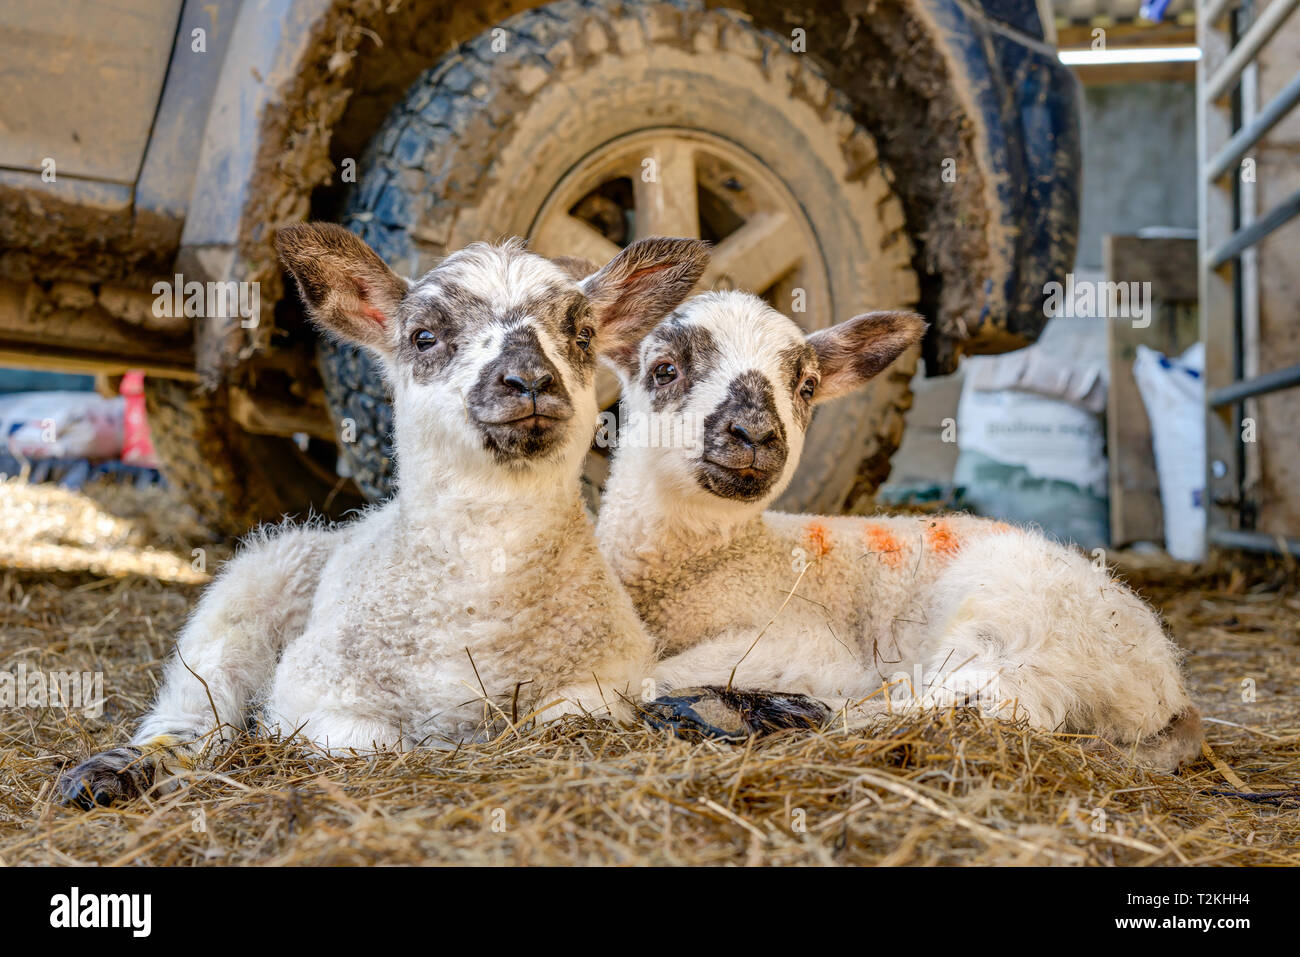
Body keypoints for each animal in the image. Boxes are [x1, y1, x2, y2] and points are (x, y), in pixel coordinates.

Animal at [58, 223, 712, 806]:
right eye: (423, 337)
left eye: (582, 335)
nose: (529, 380)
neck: (480, 604)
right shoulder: (314, 697)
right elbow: (376, 743)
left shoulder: (611, 679)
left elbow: (561, 719)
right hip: (253, 583)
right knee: (197, 706)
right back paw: (113, 774)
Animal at [595, 291, 1201, 769]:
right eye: (665, 369)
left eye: (807, 386)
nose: (755, 434)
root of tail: (1165, 682)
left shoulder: (800, 641)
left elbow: (645, 674)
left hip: (1016, 624)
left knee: (979, 707)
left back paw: (753, 712)